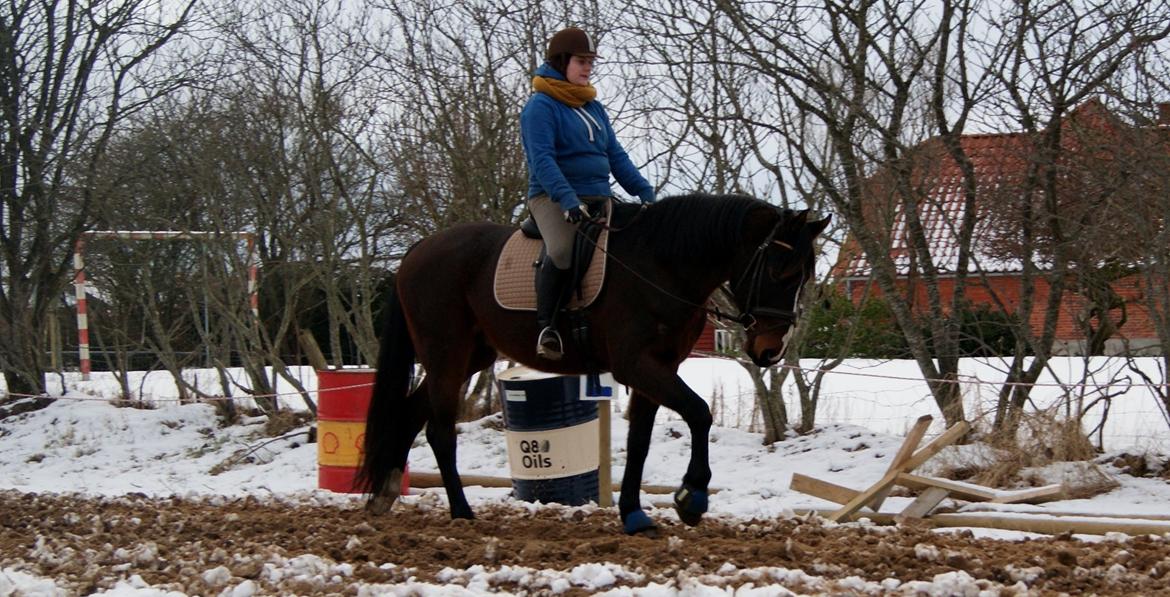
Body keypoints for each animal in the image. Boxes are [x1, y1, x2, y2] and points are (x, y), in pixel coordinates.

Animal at [360, 193, 828, 533]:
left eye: (806, 276)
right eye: (782, 271)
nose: (771, 350)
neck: (661, 265)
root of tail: (419, 249)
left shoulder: (658, 368)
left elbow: (640, 441)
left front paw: (634, 514)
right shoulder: (637, 365)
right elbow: (699, 412)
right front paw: (691, 497)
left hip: (471, 355)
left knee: (410, 413)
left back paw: (385, 492)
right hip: (446, 355)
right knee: (439, 431)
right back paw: (460, 512)